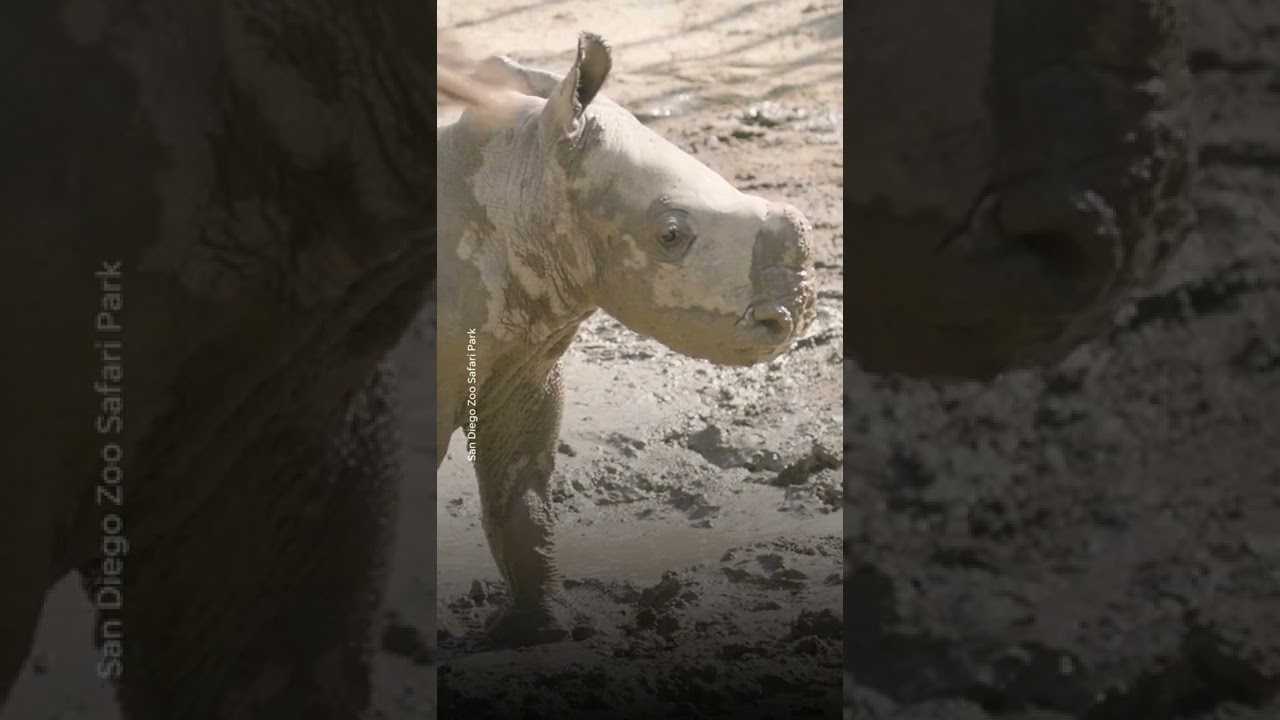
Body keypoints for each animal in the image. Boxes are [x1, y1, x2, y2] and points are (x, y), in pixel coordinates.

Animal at [435, 32, 814, 645]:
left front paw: (538, 632)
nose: (793, 318)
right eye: (671, 235)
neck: (521, 177)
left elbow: (520, 493)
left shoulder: (521, 360)